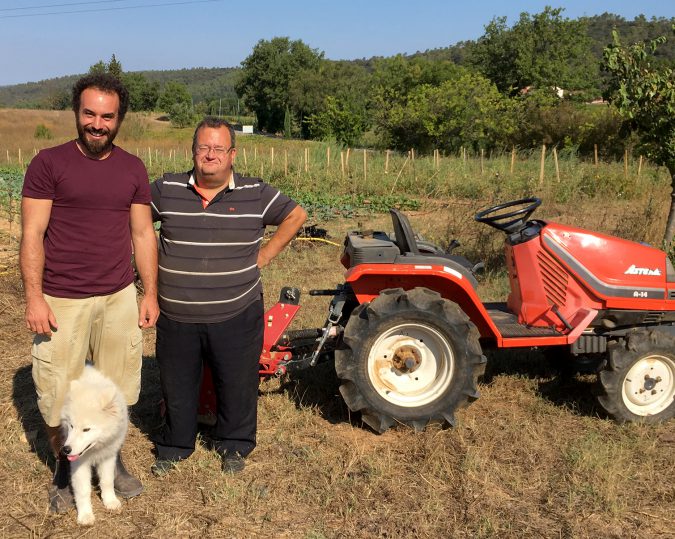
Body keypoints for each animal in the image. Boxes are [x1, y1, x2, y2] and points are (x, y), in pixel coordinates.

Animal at [61, 364, 130, 524]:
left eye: (86, 429)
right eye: (71, 426)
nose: (66, 450)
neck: (95, 449)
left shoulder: (108, 456)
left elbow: (107, 481)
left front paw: (110, 501)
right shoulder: (78, 464)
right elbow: (83, 490)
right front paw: (85, 516)